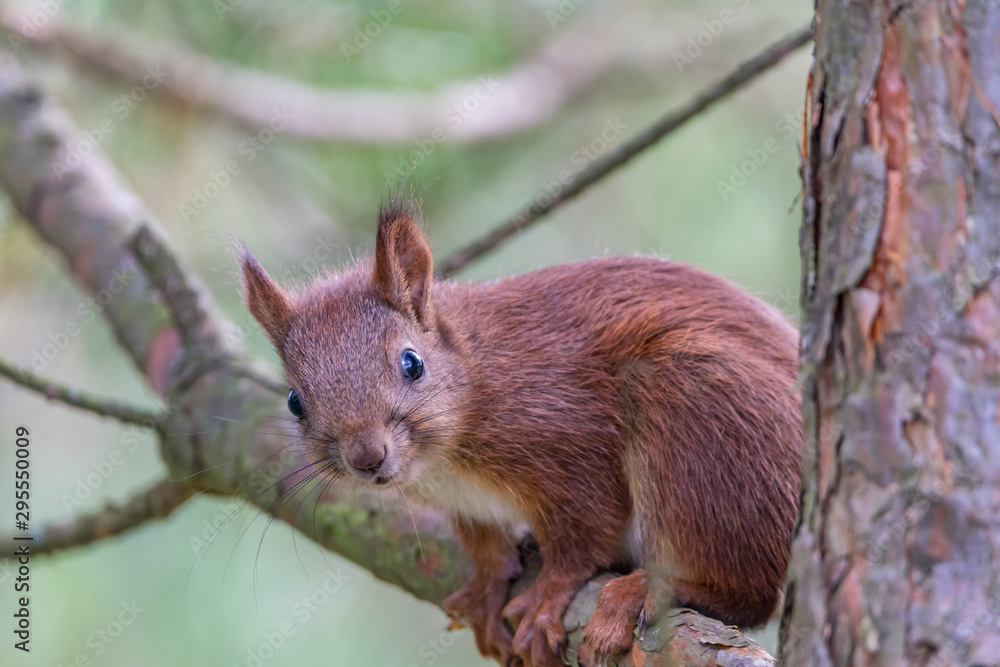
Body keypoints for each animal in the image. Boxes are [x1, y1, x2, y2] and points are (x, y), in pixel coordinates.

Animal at [240, 202, 802, 667]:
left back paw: (644, 591)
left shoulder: (572, 441)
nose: (367, 458)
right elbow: (485, 546)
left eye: (411, 363)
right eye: (295, 402)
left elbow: (582, 538)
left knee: (751, 593)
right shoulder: (467, 506)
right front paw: (488, 589)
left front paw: (547, 598)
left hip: (696, 410)